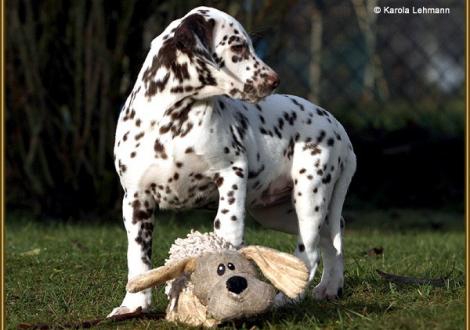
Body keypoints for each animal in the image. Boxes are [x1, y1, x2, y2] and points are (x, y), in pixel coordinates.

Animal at [108, 5, 354, 318]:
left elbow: (227, 228)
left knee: (309, 251)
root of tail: (338, 128)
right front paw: (133, 306)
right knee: (332, 235)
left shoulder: (230, 174)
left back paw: (285, 299)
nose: (275, 80)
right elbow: (138, 259)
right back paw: (330, 287)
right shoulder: (136, 199)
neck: (171, 120)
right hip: (280, 212)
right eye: (237, 46)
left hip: (310, 195)